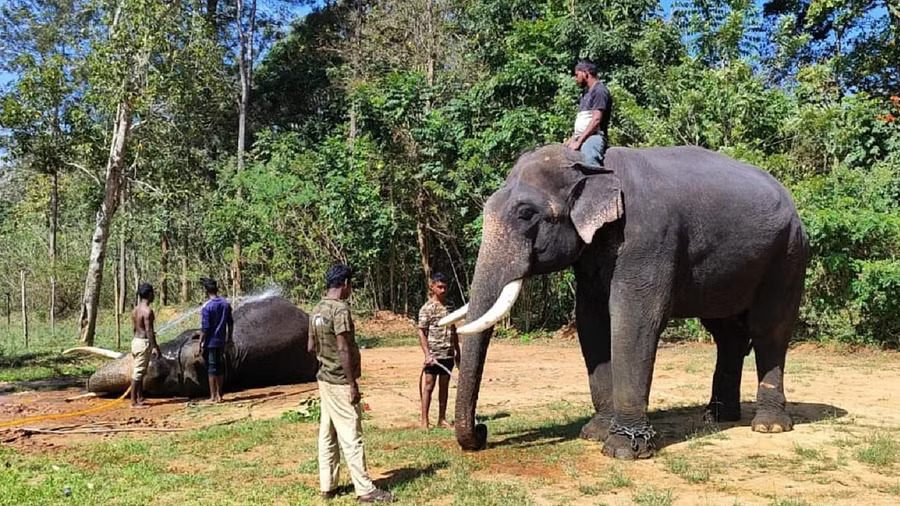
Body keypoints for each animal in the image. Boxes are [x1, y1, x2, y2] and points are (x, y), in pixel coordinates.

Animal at [442, 143, 808, 458]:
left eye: (526, 213)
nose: (482, 431)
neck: (591, 167)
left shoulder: (647, 238)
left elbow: (635, 320)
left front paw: (623, 450)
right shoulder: (591, 257)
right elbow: (591, 321)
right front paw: (594, 434)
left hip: (787, 255)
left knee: (769, 330)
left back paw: (768, 427)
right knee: (727, 334)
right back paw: (717, 418)